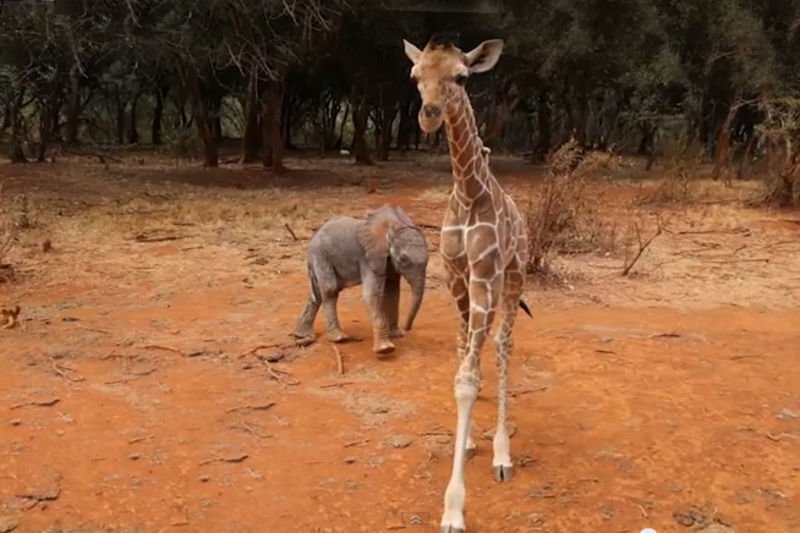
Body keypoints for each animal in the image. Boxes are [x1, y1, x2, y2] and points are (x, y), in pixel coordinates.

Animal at [292, 204, 428, 354]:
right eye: (403, 259)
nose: (407, 328)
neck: (393, 225)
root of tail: (314, 235)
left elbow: (392, 293)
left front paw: (396, 335)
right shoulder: (368, 258)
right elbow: (372, 295)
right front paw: (386, 349)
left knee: (317, 294)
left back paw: (301, 335)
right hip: (320, 255)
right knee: (330, 289)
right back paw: (339, 338)